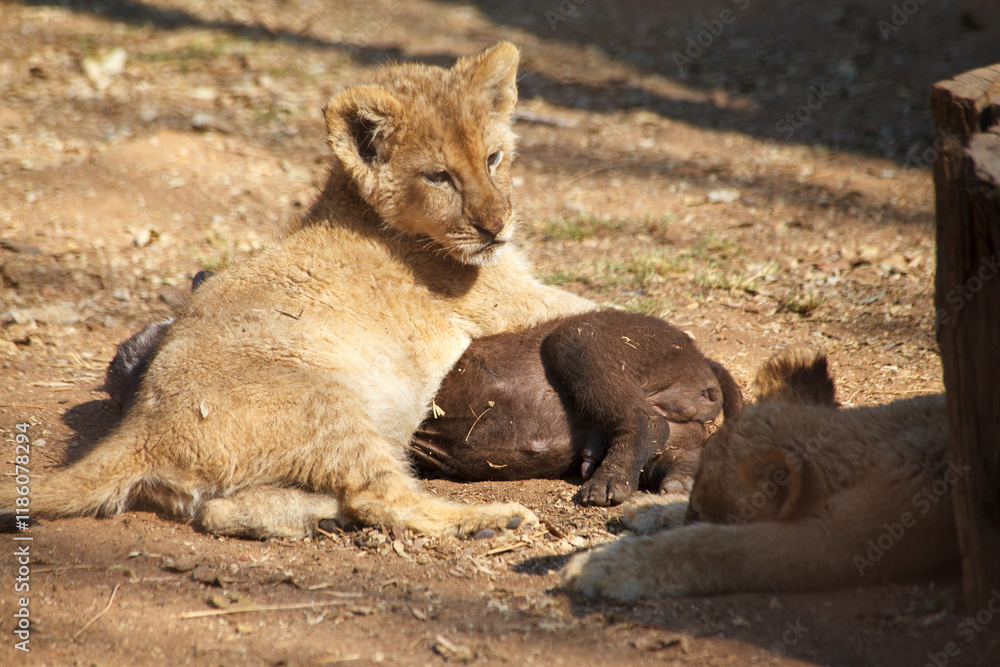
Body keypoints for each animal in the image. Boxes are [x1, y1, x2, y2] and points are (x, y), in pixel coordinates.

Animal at [1, 42, 594, 540]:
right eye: (439, 177)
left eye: (494, 159)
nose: (497, 227)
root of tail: (142, 429)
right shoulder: (513, 303)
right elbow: (604, 305)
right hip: (327, 404)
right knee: (383, 498)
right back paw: (491, 521)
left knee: (227, 511)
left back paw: (322, 520)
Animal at [562, 345, 959, 598]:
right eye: (694, 505)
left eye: (702, 511)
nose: (688, 513)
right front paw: (646, 507)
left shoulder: (843, 540)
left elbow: (717, 546)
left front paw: (600, 567)